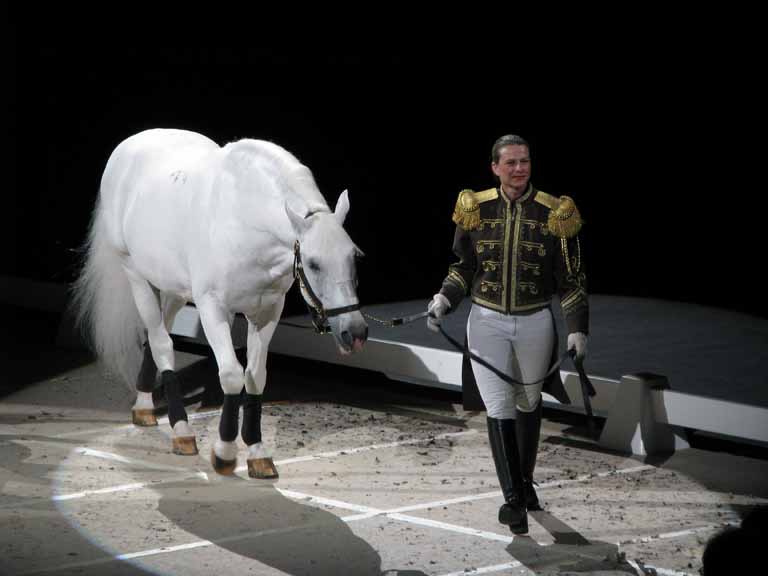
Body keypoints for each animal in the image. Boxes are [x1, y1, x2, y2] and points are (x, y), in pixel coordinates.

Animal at [73, 129, 368, 476]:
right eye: (313, 263)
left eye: (354, 256)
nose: (355, 332)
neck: (245, 219)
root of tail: (128, 145)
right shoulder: (212, 308)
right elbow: (230, 374)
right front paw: (225, 453)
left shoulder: (267, 312)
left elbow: (255, 376)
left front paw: (256, 451)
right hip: (135, 275)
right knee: (161, 343)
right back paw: (181, 430)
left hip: (175, 288)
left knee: (156, 335)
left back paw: (144, 405)